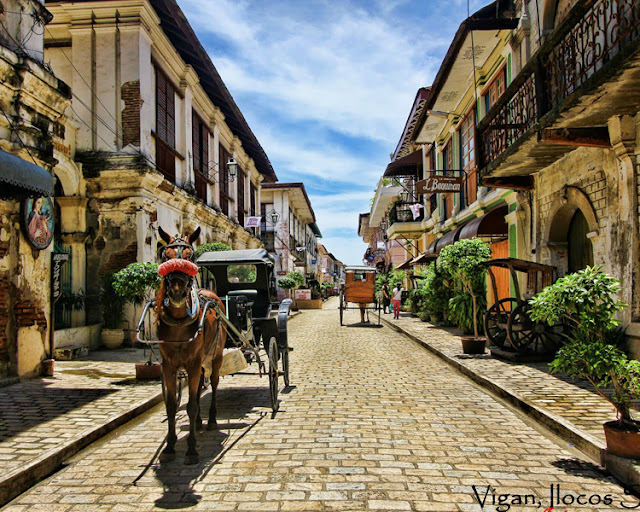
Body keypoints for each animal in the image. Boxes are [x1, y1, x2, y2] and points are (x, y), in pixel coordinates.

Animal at [154, 226, 225, 466]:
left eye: (190, 257)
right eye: (165, 257)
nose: (177, 293)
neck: (178, 322)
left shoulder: (193, 364)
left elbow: (192, 405)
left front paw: (192, 450)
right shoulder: (168, 366)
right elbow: (172, 405)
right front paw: (169, 446)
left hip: (216, 356)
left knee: (214, 383)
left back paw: (211, 419)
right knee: (199, 387)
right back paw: (199, 423)